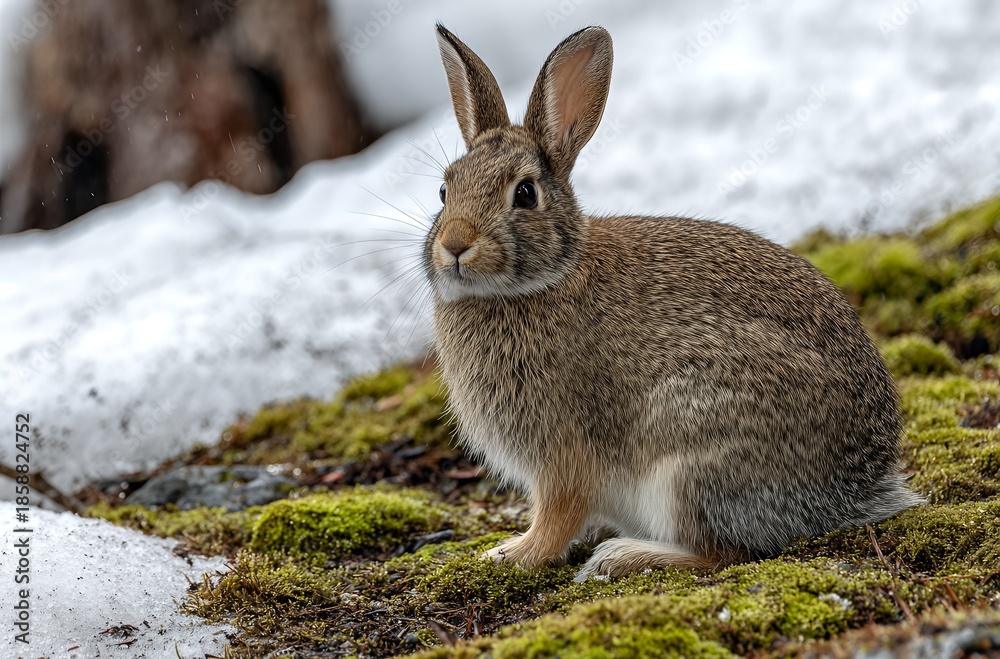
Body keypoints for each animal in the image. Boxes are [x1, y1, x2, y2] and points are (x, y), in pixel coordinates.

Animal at [425, 24, 923, 580]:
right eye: (444, 190)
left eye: (526, 193)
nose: (455, 245)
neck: (543, 279)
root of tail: (854, 490)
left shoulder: (563, 450)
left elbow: (558, 513)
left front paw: (512, 554)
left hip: (690, 461)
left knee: (724, 552)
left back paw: (622, 556)